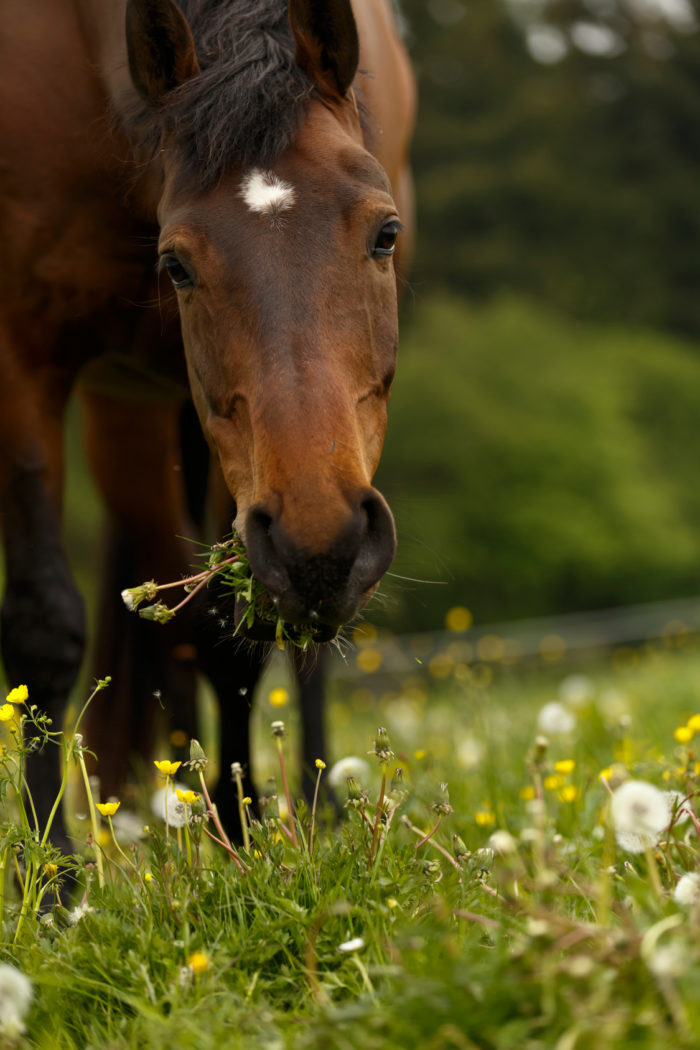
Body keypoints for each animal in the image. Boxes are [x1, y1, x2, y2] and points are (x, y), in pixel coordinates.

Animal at [0, 0, 415, 852]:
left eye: (385, 233)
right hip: (132, 422)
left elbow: (237, 633)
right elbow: (44, 629)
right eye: (176, 265)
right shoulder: (19, 354)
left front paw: (245, 841)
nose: (323, 548)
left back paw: (313, 810)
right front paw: (55, 879)